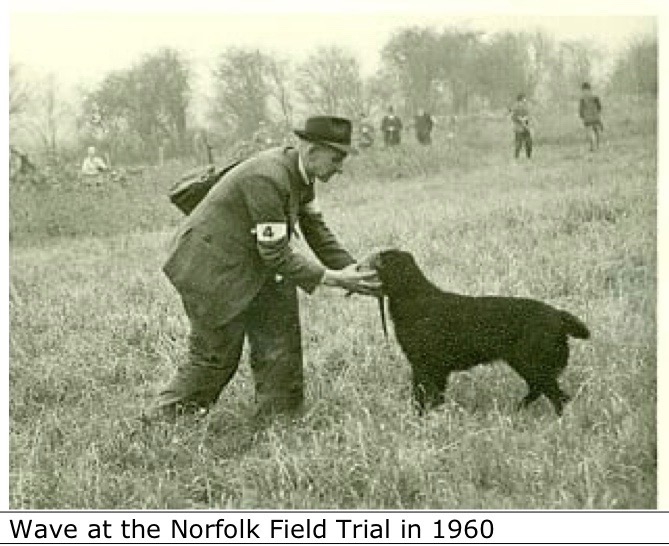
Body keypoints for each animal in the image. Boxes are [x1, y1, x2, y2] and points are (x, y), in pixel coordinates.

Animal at [370, 250, 588, 412]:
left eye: (380, 259)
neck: (415, 299)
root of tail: (558, 315)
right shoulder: (435, 369)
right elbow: (434, 398)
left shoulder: (423, 366)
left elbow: (421, 397)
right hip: (529, 365)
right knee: (546, 392)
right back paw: (517, 410)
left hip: (533, 364)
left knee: (557, 396)